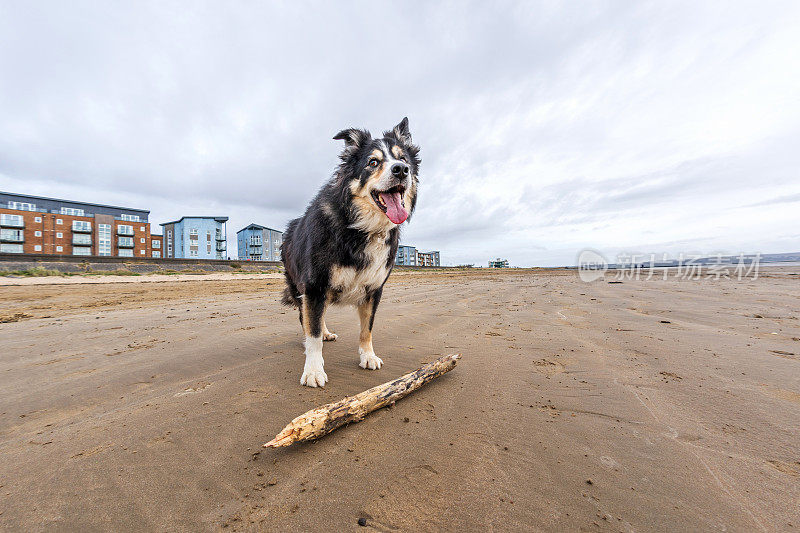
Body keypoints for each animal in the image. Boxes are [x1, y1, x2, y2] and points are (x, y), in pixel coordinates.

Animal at [280, 117, 418, 386]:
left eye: (403, 159)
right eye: (373, 162)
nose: (401, 170)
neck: (360, 227)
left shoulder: (374, 289)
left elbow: (367, 328)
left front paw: (368, 356)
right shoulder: (314, 285)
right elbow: (312, 331)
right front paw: (313, 369)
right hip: (297, 283)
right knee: (305, 317)